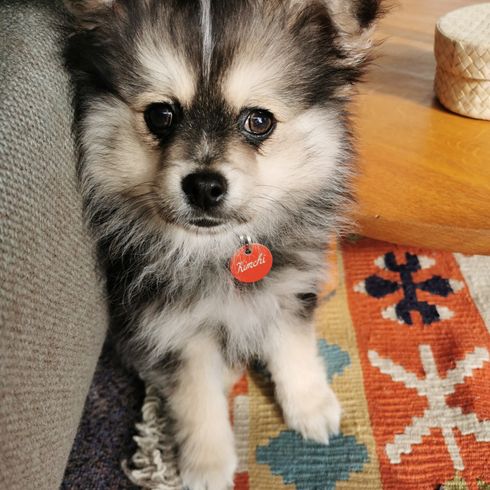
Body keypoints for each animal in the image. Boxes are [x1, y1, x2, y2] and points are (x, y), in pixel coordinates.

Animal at [62, 1, 382, 488]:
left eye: (258, 121)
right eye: (161, 115)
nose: (204, 186)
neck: (220, 250)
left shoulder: (288, 289)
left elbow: (293, 346)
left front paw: (309, 404)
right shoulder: (172, 327)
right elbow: (196, 397)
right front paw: (207, 464)